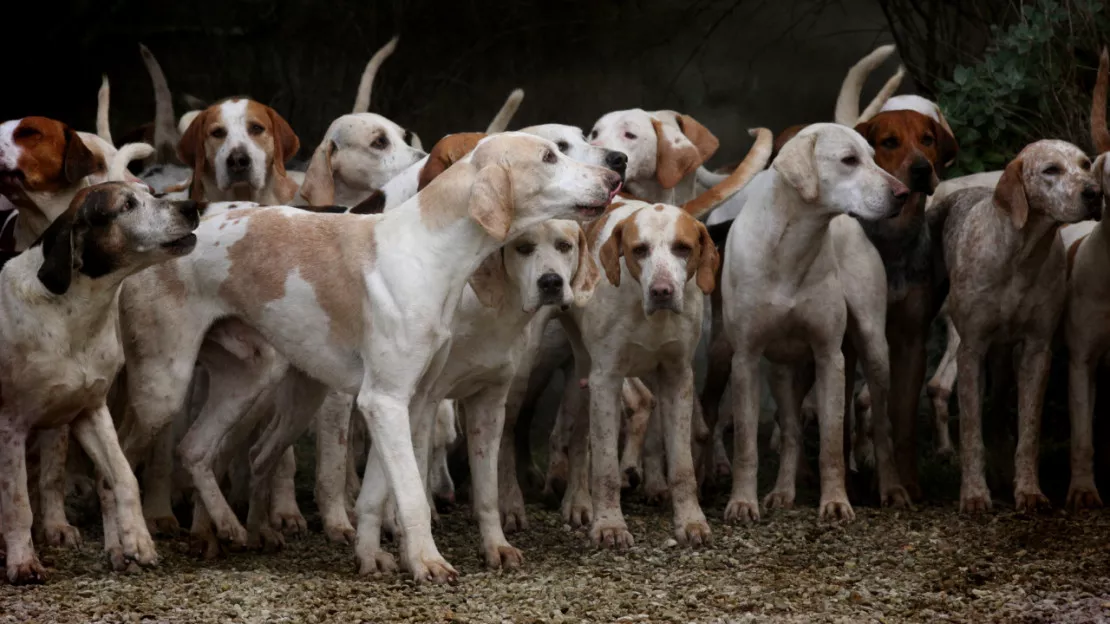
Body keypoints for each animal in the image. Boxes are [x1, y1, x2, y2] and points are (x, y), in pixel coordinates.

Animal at [0, 180, 202, 581]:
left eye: (152, 191)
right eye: (126, 206)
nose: (191, 207)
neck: (71, 313)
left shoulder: (90, 411)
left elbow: (122, 476)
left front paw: (135, 540)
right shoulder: (10, 425)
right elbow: (17, 504)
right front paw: (23, 561)